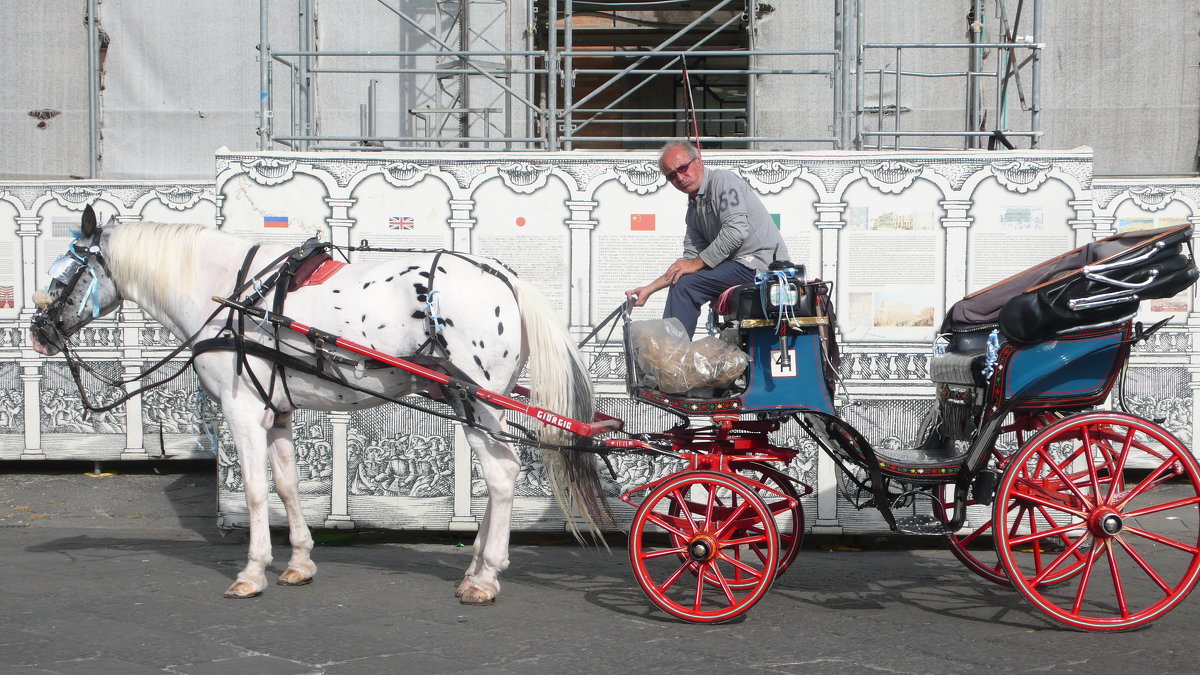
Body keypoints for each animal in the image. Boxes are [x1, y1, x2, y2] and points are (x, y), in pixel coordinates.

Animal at [28, 204, 609, 598]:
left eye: (61, 275)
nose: (38, 330)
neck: (230, 294)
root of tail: (505, 277)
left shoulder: (243, 412)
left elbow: (256, 491)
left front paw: (252, 571)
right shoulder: (279, 412)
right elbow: (286, 486)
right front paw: (299, 561)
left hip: (477, 400)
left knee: (503, 473)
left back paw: (487, 575)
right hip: (476, 402)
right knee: (495, 475)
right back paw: (475, 566)